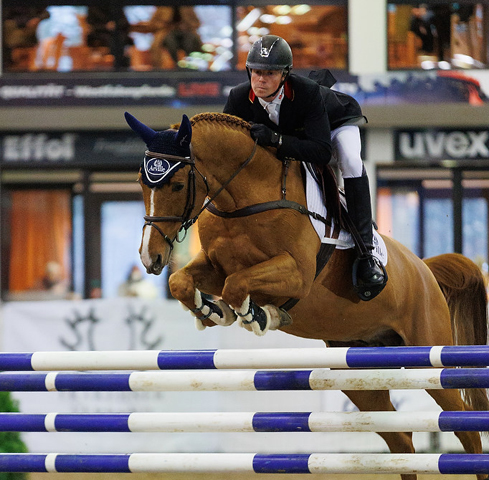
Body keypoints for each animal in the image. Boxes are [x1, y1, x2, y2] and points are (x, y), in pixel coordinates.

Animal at [127, 110, 488, 478]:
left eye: (177, 184)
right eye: (142, 182)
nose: (151, 257)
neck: (244, 200)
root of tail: (424, 268)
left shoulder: (296, 275)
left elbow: (238, 285)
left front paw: (258, 315)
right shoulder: (215, 267)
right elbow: (182, 282)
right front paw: (212, 311)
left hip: (427, 356)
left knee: (466, 428)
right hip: (358, 369)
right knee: (400, 440)